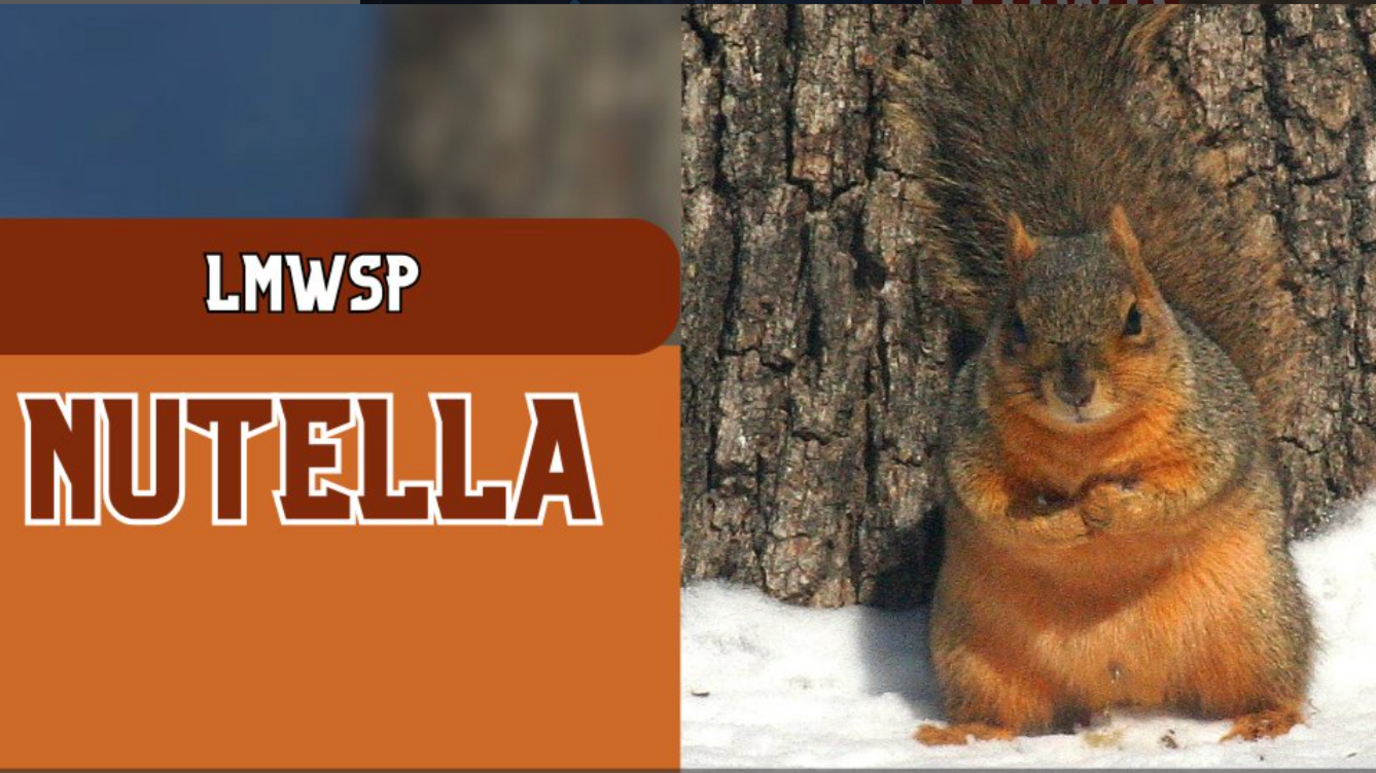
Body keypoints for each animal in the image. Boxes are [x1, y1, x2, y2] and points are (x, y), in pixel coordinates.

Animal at [900, 8, 1316, 746]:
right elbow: (989, 502)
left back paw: (1269, 718)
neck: (1084, 445)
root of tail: (1128, 691)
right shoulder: (968, 439)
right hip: (973, 651)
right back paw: (968, 733)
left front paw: (1112, 508)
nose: (1075, 386)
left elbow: (1189, 486)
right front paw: (1061, 522)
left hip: (1259, 621)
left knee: (1271, 679)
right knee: (1001, 710)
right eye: (1016, 325)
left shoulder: (1213, 428)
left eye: (1134, 318)